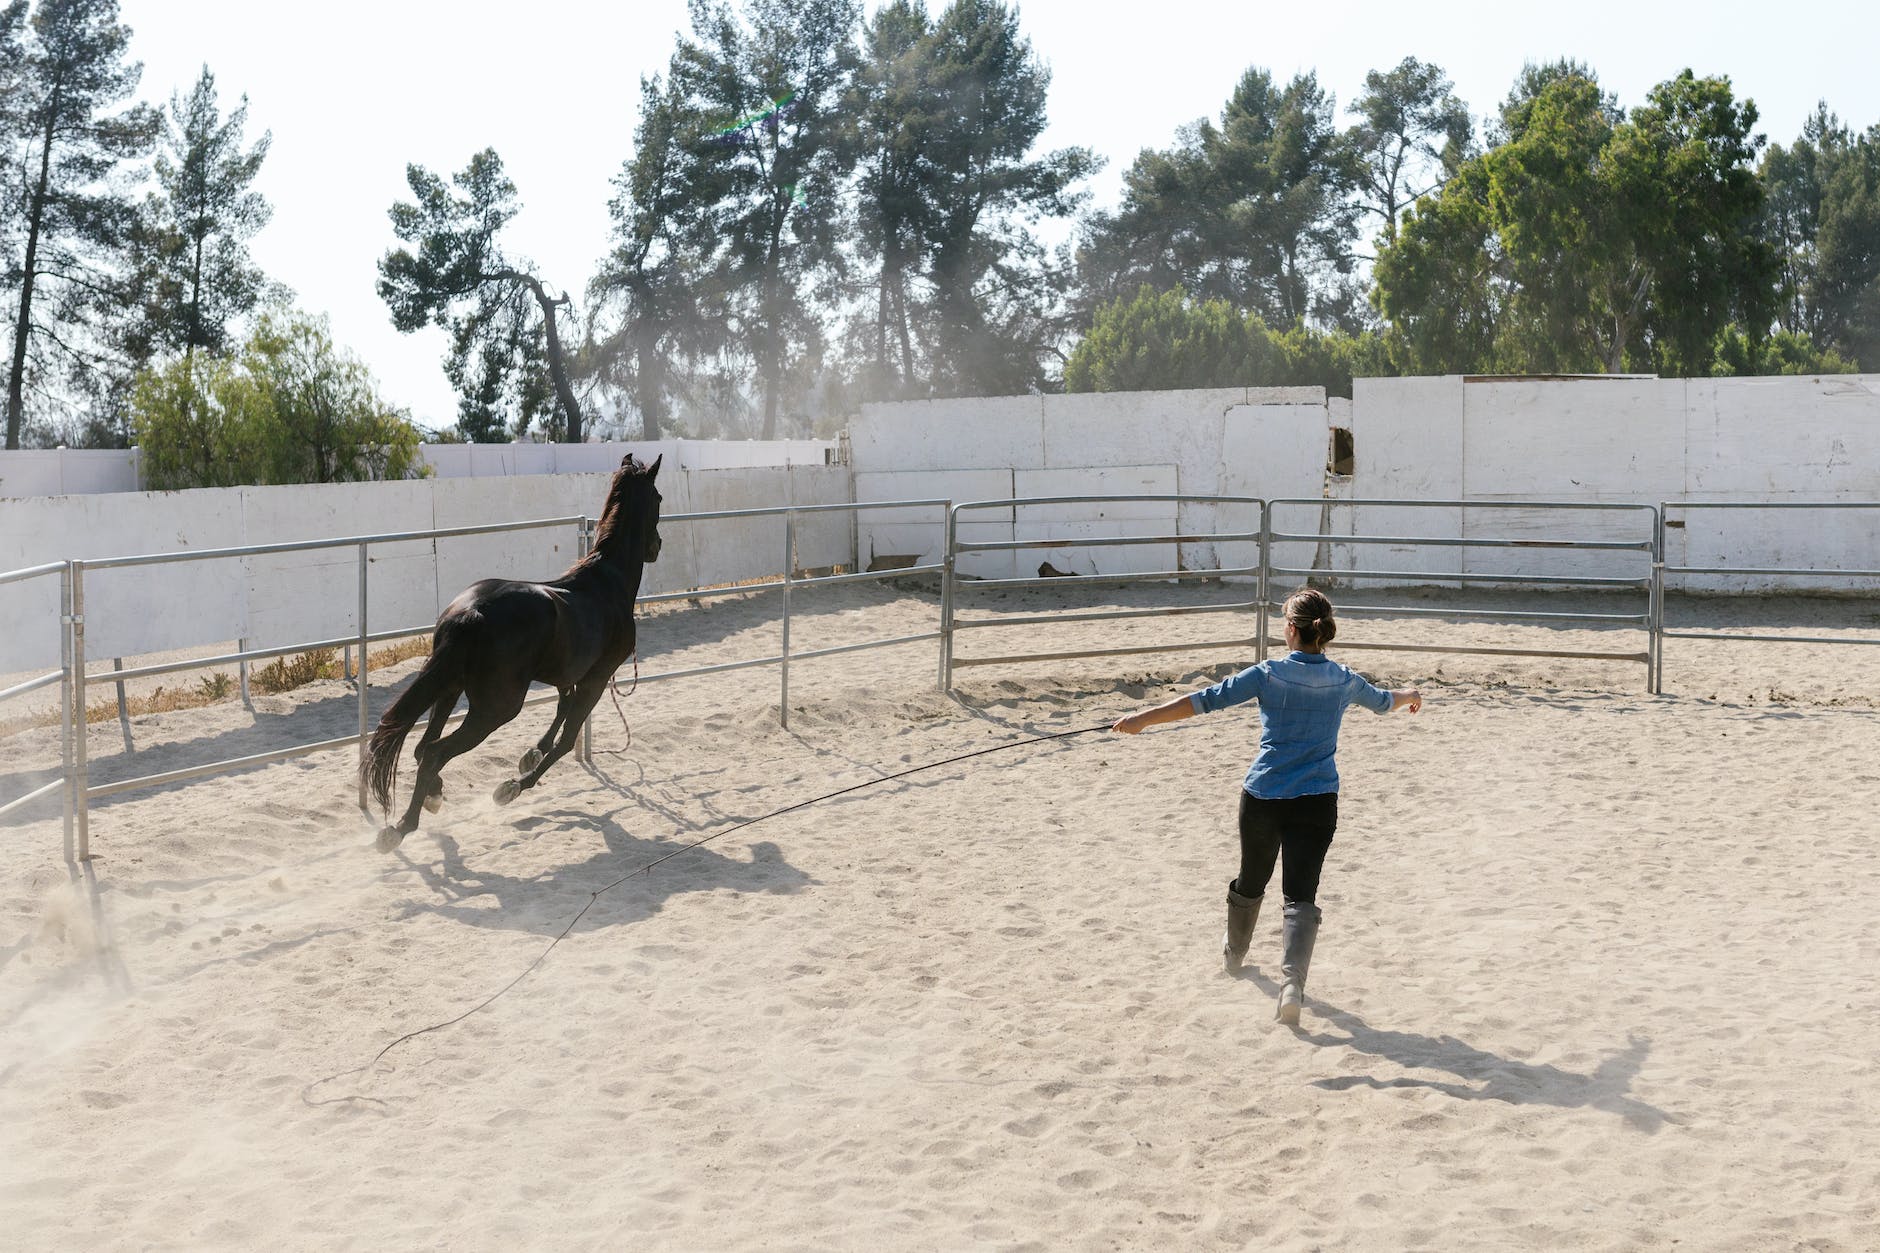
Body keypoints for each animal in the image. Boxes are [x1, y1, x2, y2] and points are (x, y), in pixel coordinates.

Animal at [363, 453, 663, 852]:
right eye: (659, 498)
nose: (656, 546)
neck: (608, 583)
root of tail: (472, 612)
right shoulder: (597, 679)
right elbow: (568, 738)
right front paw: (511, 788)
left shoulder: (568, 675)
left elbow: (562, 709)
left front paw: (529, 755)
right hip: (497, 708)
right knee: (434, 752)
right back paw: (400, 827)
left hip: (449, 688)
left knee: (423, 747)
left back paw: (432, 797)